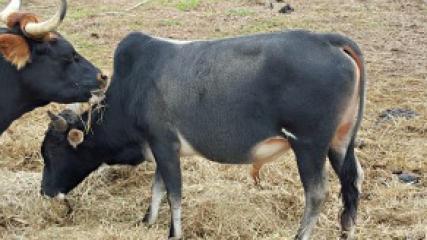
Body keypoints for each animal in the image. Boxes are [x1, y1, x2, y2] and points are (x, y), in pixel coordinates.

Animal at [41, 30, 368, 240]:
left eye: (52, 151)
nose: (45, 191)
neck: (129, 90)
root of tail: (328, 40)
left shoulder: (164, 143)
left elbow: (173, 192)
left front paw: (173, 233)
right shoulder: (159, 148)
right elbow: (158, 188)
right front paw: (147, 221)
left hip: (309, 145)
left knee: (317, 193)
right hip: (341, 143)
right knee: (352, 184)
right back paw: (346, 233)